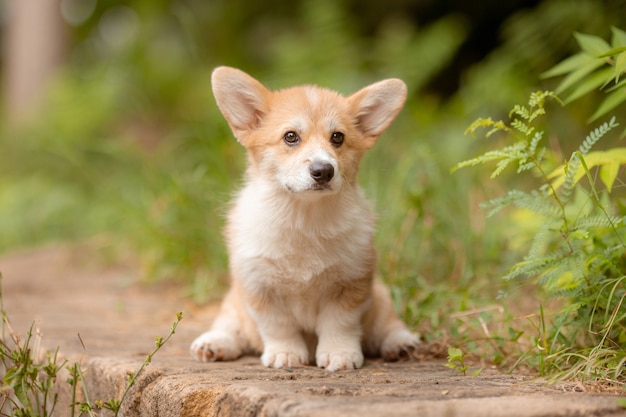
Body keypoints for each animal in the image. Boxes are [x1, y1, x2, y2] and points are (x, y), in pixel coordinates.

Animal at [188, 66, 416, 370]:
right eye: (290, 136)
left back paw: (401, 343)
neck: (303, 216)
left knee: (387, 326)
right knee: (231, 326)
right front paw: (286, 354)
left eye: (338, 137)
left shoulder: (351, 283)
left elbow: (340, 324)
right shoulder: (260, 286)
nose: (323, 171)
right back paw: (213, 344)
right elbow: (278, 326)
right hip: (234, 303)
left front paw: (340, 355)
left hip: (380, 299)